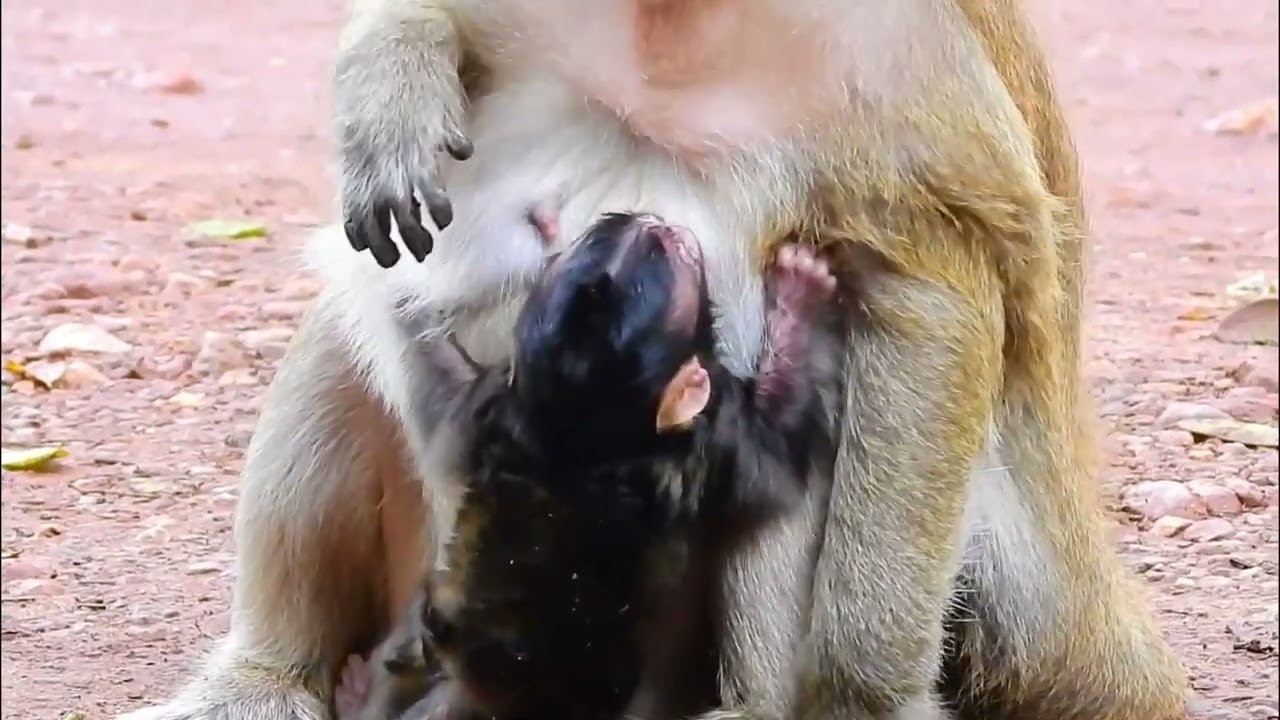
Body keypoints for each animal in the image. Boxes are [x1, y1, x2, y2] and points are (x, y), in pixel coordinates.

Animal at [334, 215, 843, 720]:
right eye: (668, 256)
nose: (652, 223)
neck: (571, 443)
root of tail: (469, 685)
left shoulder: (492, 404)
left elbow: (446, 399)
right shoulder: (714, 432)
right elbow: (778, 454)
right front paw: (799, 294)